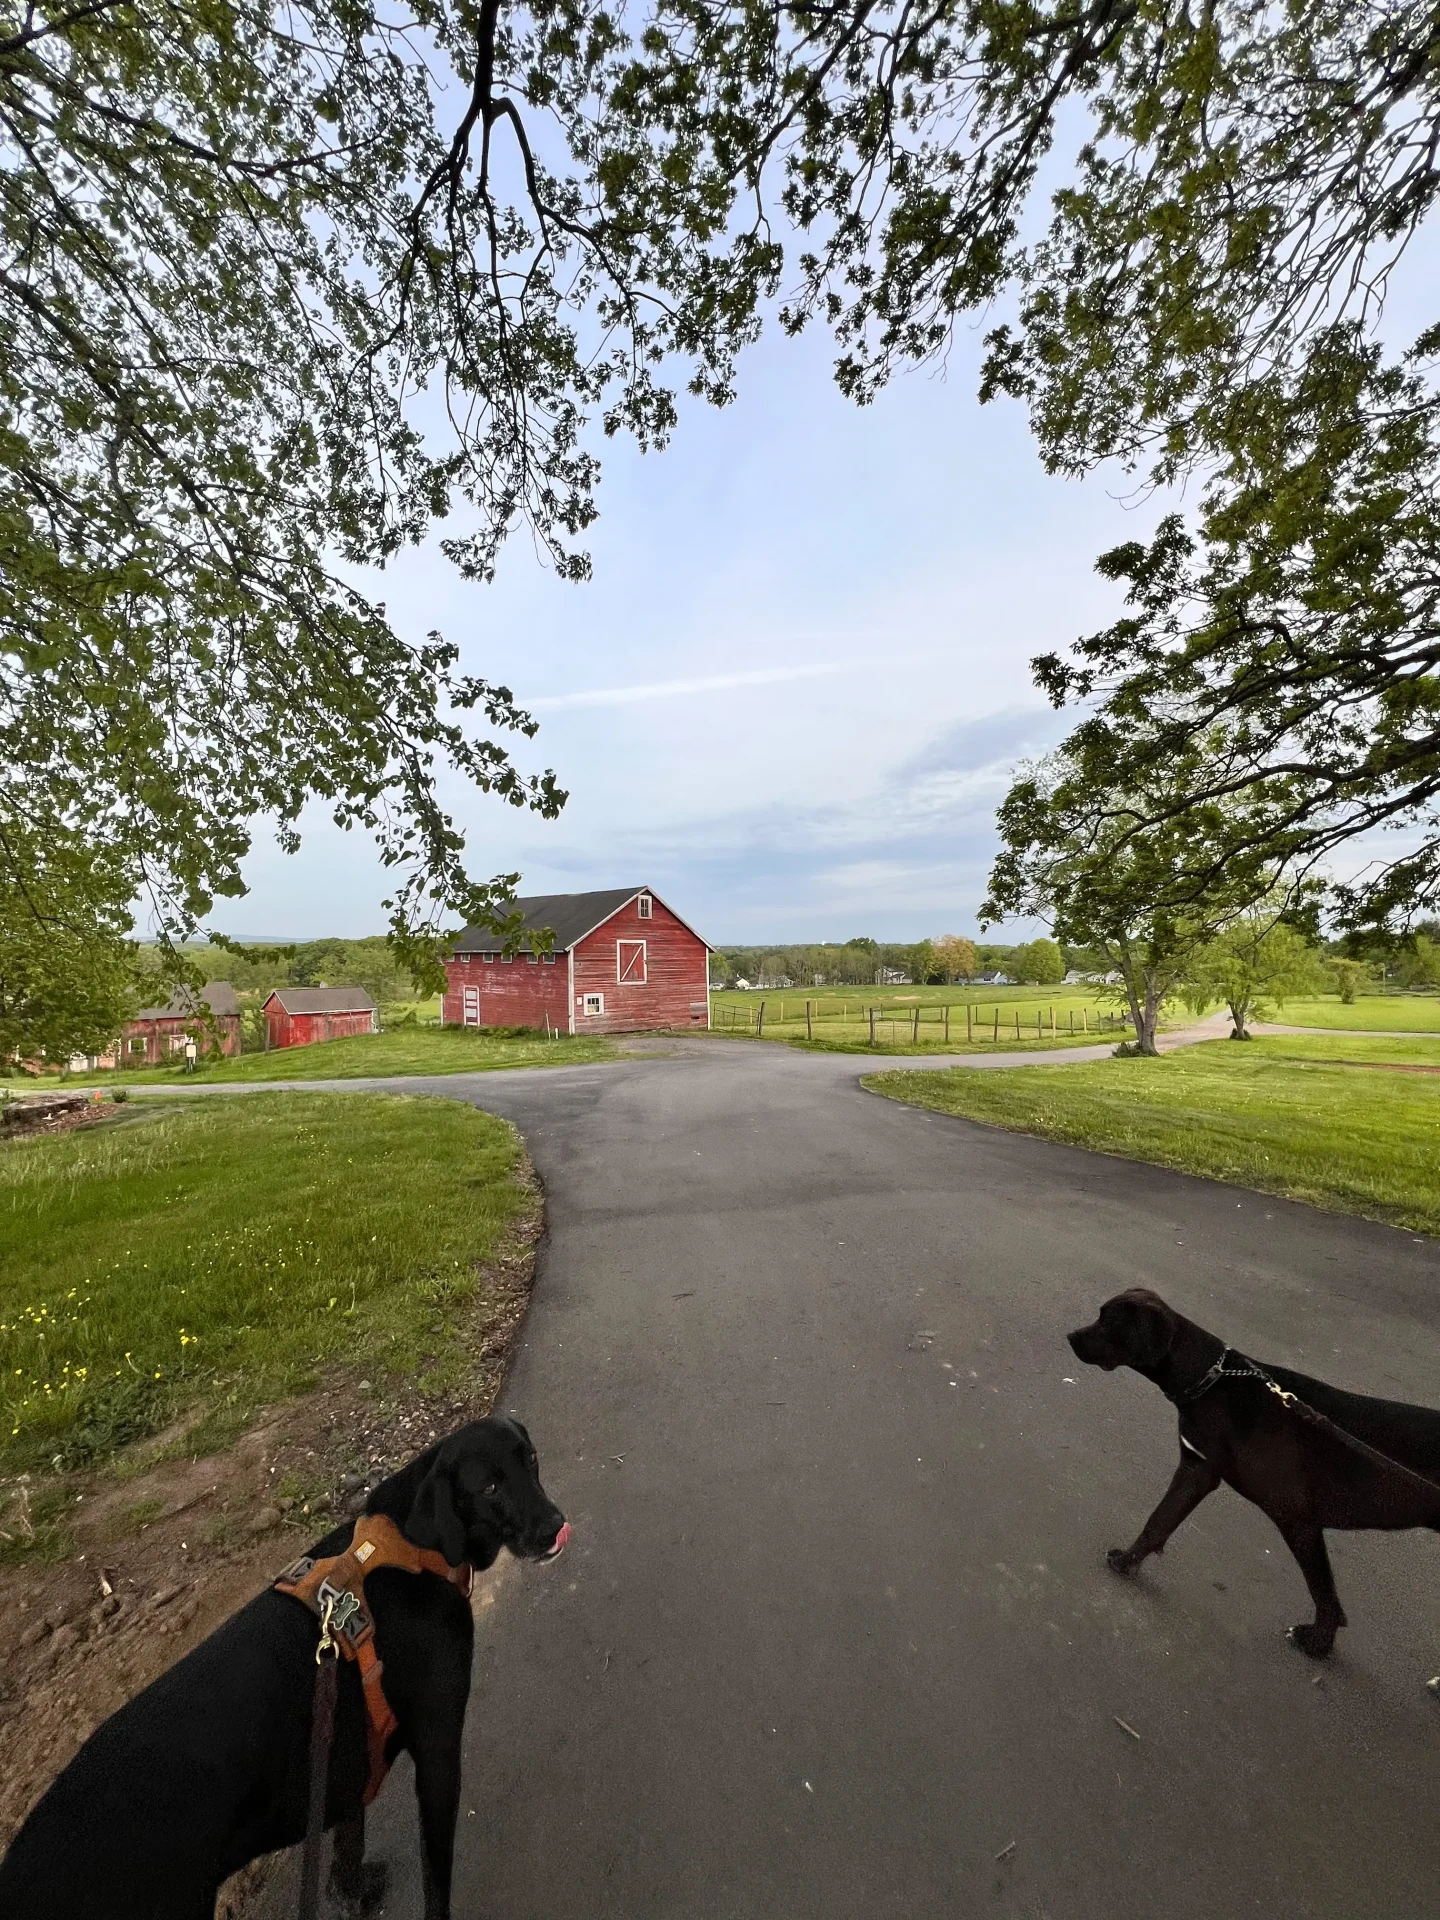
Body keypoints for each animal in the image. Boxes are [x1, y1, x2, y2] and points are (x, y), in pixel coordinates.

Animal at [0, 1420, 572, 1912]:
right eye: (490, 1487)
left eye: (531, 1459)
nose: (555, 1528)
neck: (413, 1544)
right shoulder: (437, 1753)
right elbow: (436, 1879)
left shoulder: (345, 1765)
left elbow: (347, 1845)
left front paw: (351, 1895)